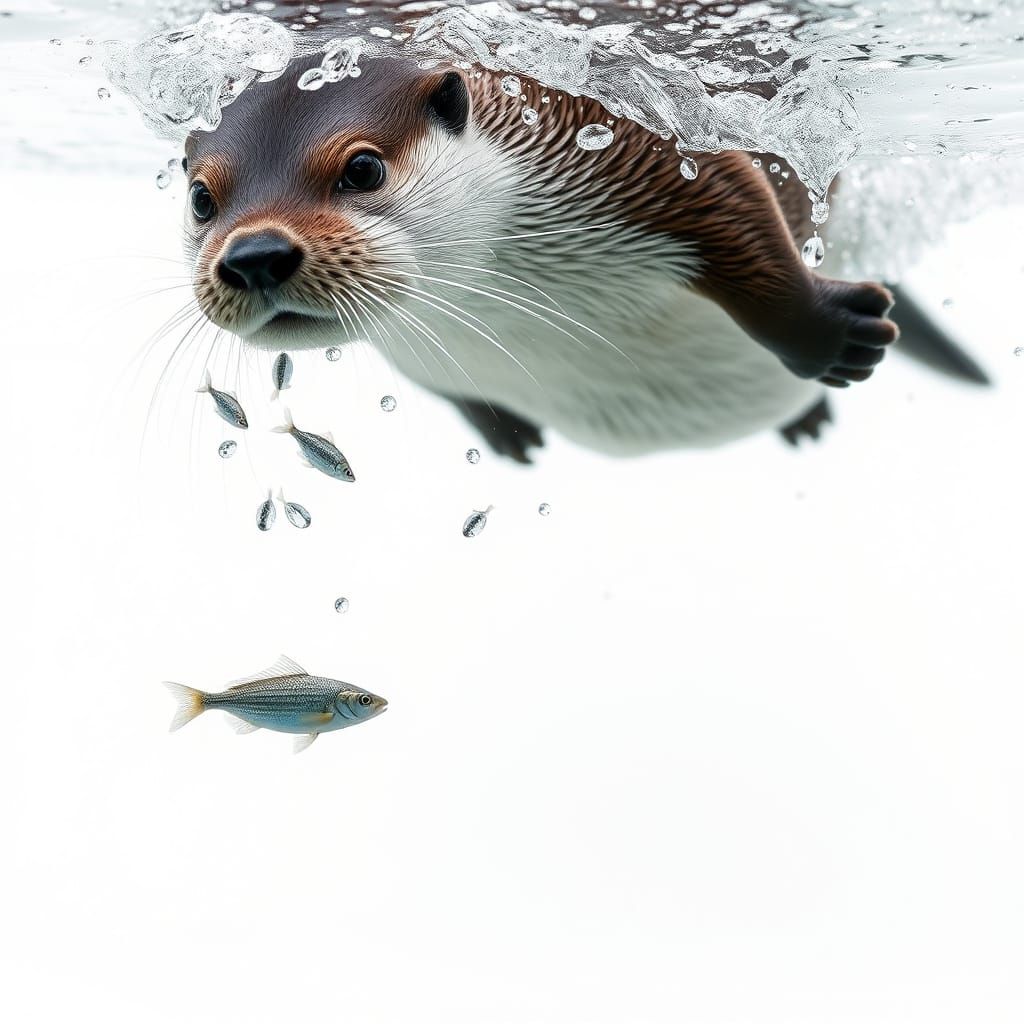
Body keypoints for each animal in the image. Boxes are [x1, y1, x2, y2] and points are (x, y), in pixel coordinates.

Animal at [183, 57, 987, 461]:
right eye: (199, 199)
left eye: (363, 168)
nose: (254, 254)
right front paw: (505, 431)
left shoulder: (616, 134)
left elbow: (735, 212)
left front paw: (827, 336)